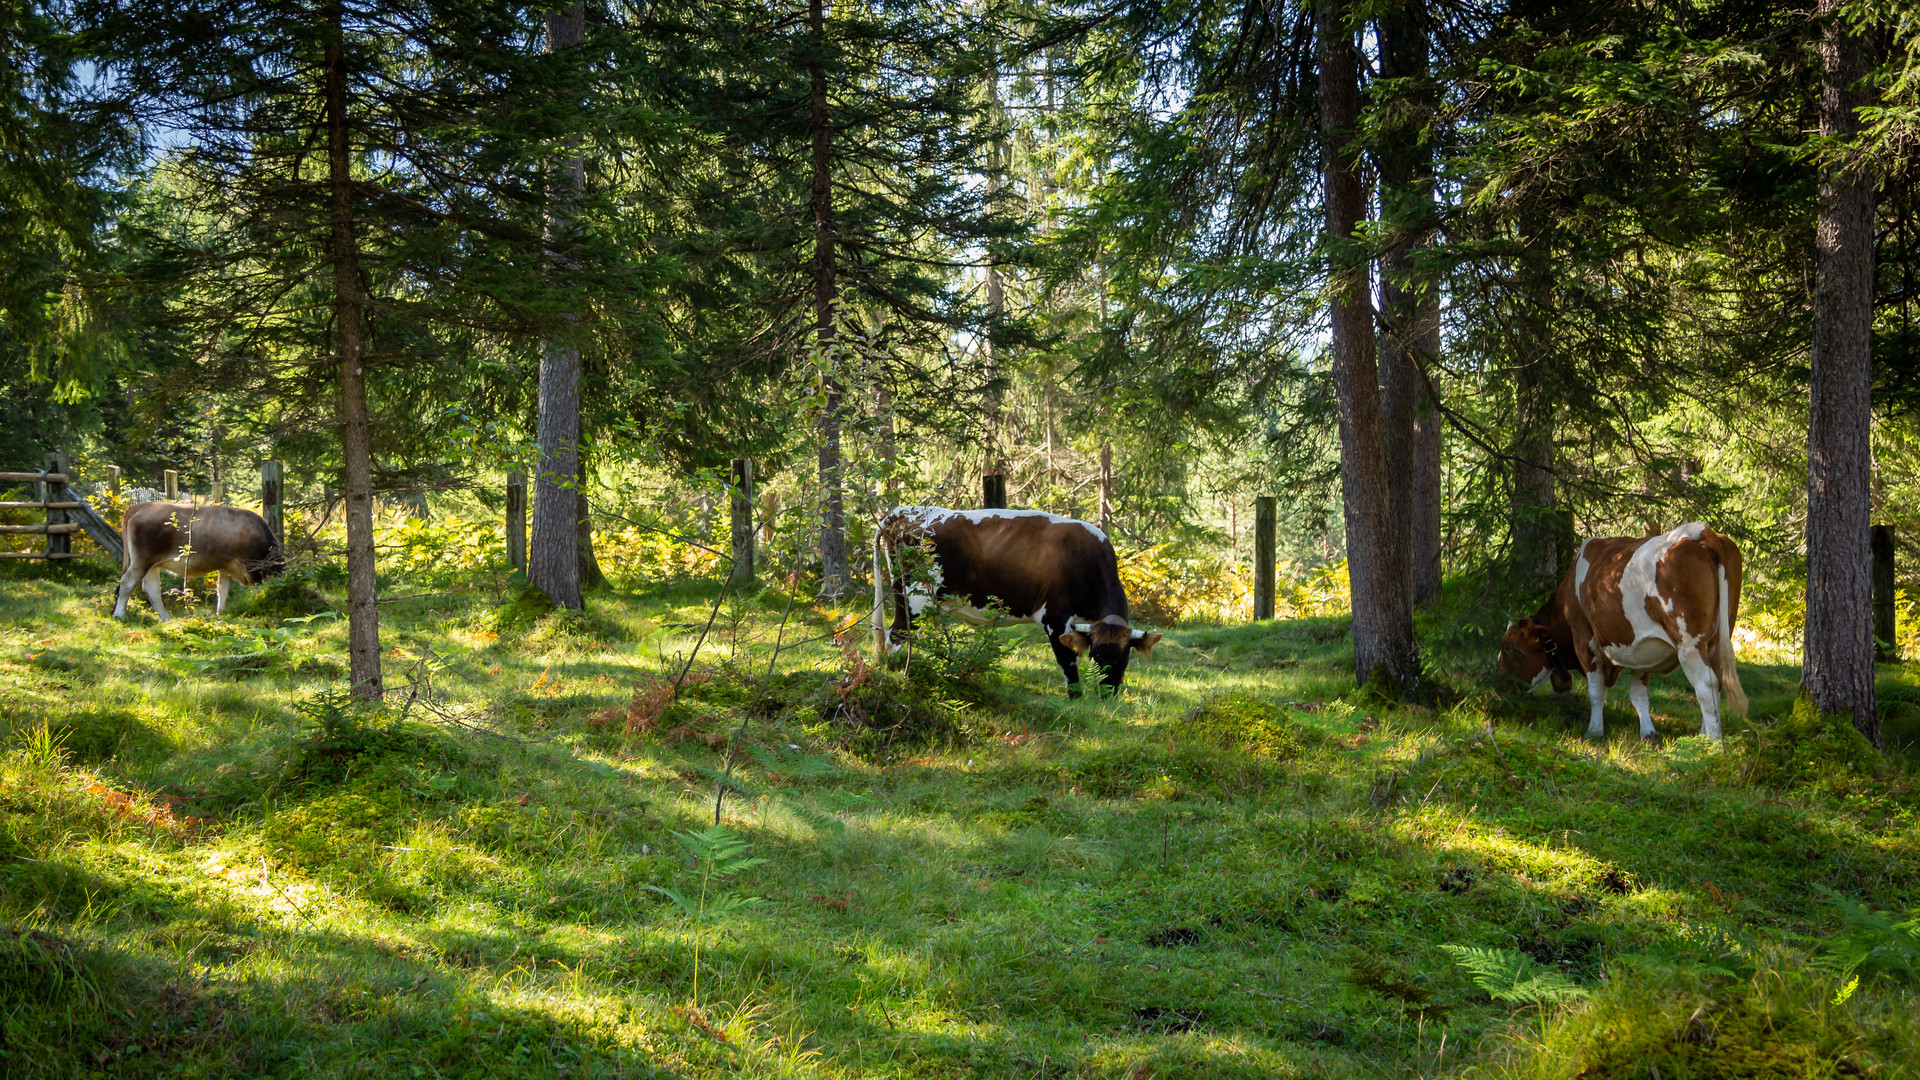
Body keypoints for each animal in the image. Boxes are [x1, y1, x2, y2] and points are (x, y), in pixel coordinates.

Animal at [113, 499, 284, 618]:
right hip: (142, 561)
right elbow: (257, 590)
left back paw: (166, 617)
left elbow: (223, 589)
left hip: (152, 564)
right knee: (127, 583)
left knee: (151, 589)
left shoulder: (225, 566)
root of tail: (142, 506)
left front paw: (221, 613)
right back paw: (119, 615)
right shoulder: (253, 566)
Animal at [871, 507, 1152, 699]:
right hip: (913, 597)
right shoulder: (1055, 618)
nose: (1107, 694)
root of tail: (906, 511)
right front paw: (1077, 701)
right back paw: (902, 675)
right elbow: (1068, 663)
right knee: (896, 637)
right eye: (1096, 656)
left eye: (1125, 658)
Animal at [1497, 522, 1758, 737]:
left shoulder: (1584, 638)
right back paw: (1703, 736)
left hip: (1689, 642)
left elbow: (1596, 691)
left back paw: (1712, 743)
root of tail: (1703, 531)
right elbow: (1639, 695)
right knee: (1716, 683)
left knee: (1706, 685)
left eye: (1510, 648)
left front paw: (1594, 731)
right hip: (1716, 638)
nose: (1499, 688)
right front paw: (1648, 732)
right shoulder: (1643, 648)